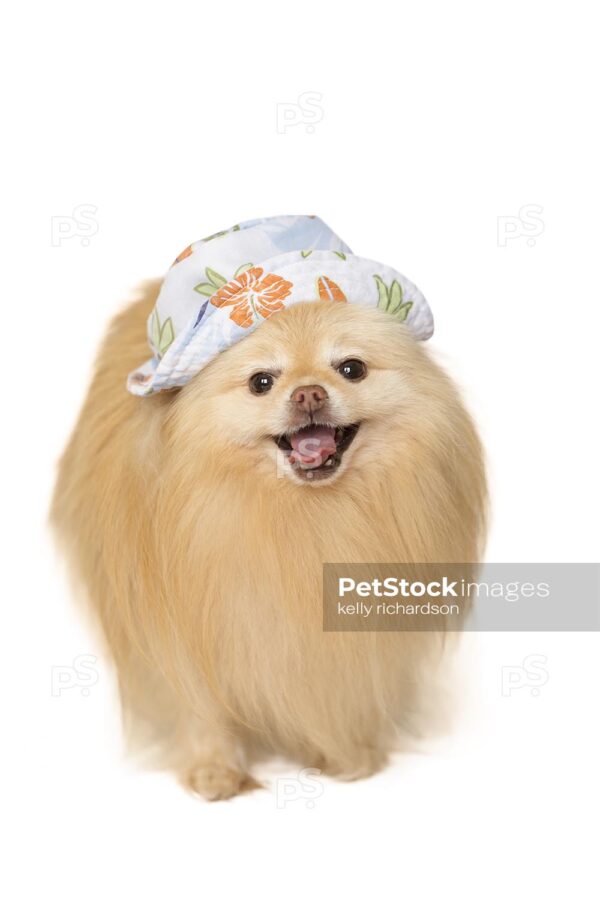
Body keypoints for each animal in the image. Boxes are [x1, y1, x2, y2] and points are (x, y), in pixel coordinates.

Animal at [49, 278, 486, 800]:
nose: (309, 394)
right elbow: (198, 702)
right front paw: (214, 770)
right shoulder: (179, 625)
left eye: (351, 368)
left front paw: (347, 753)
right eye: (261, 381)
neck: (301, 517)